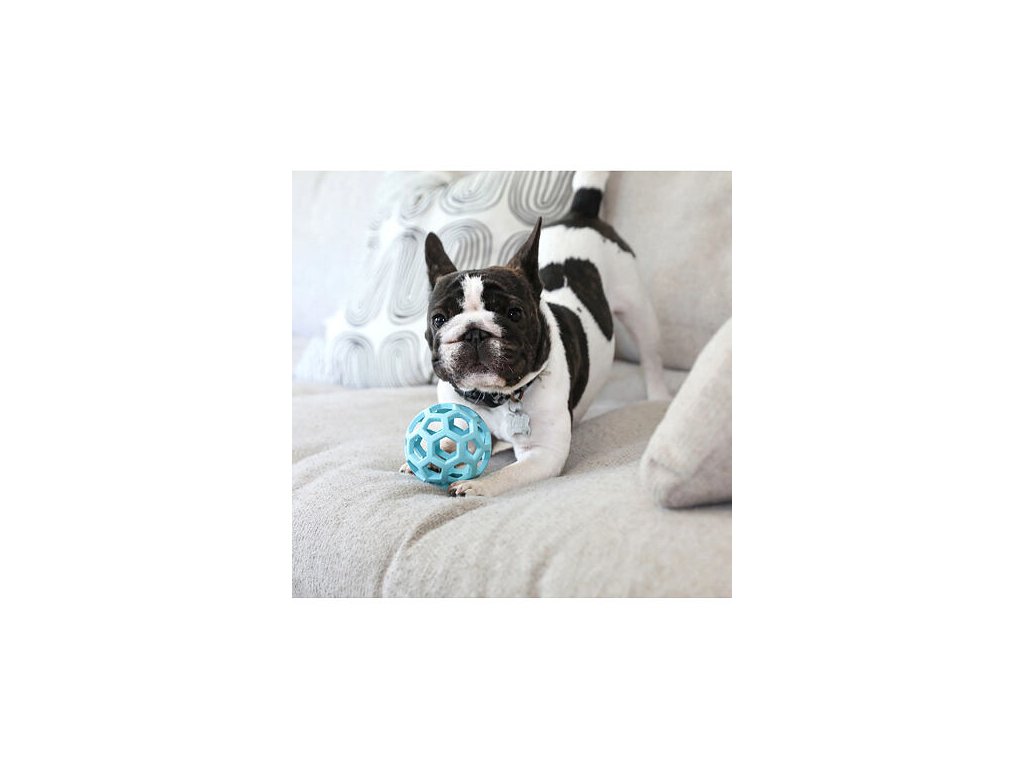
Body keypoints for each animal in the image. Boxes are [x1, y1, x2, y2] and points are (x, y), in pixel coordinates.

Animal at [402, 171, 669, 496]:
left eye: (514, 313)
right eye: (439, 319)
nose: (475, 332)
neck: (497, 398)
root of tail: (581, 213)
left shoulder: (544, 454)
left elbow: (506, 475)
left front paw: (475, 486)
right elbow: (452, 437)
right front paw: (433, 452)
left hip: (637, 308)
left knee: (651, 355)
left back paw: (657, 395)